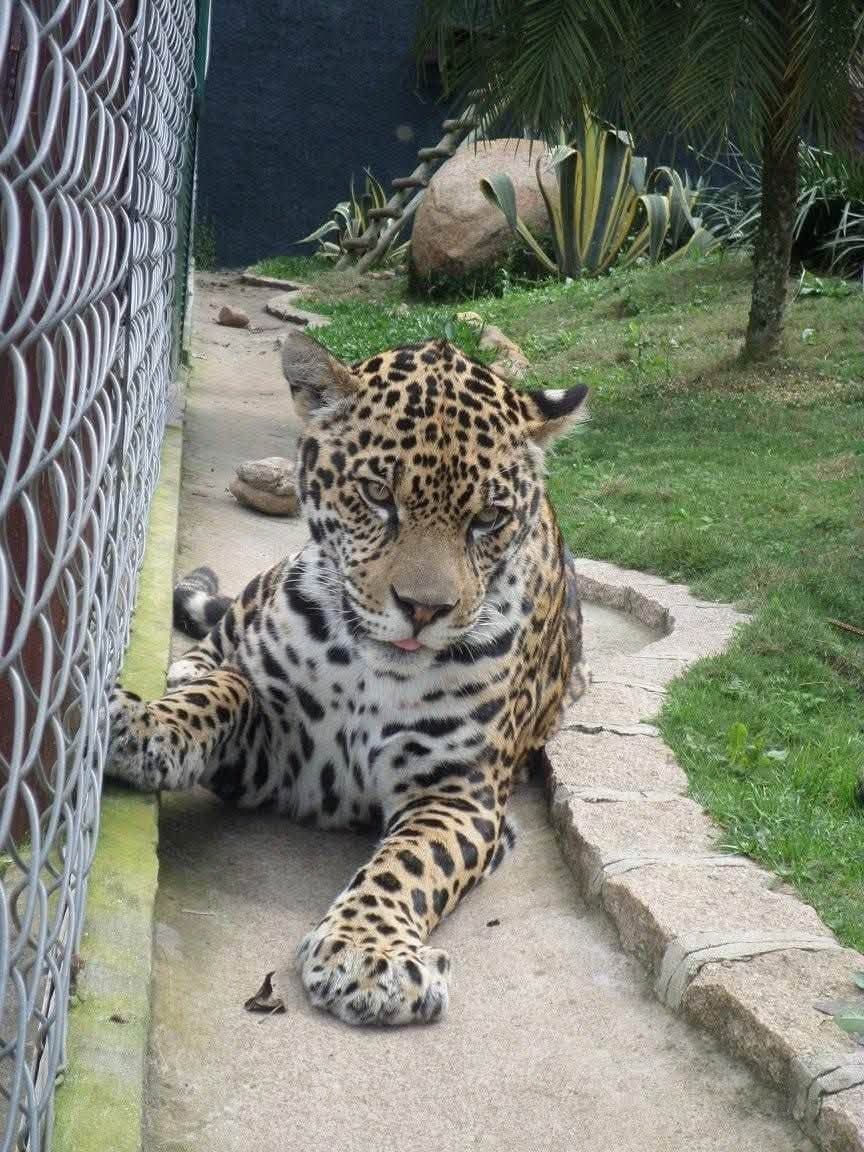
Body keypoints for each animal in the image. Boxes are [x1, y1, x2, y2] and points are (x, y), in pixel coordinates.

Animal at [106, 330, 589, 1027]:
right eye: (377, 495)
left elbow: (410, 863)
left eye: (489, 519)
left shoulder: (460, 793)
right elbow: (228, 691)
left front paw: (369, 955)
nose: (424, 609)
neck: (370, 676)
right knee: (216, 645)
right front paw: (143, 721)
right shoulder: (271, 749)